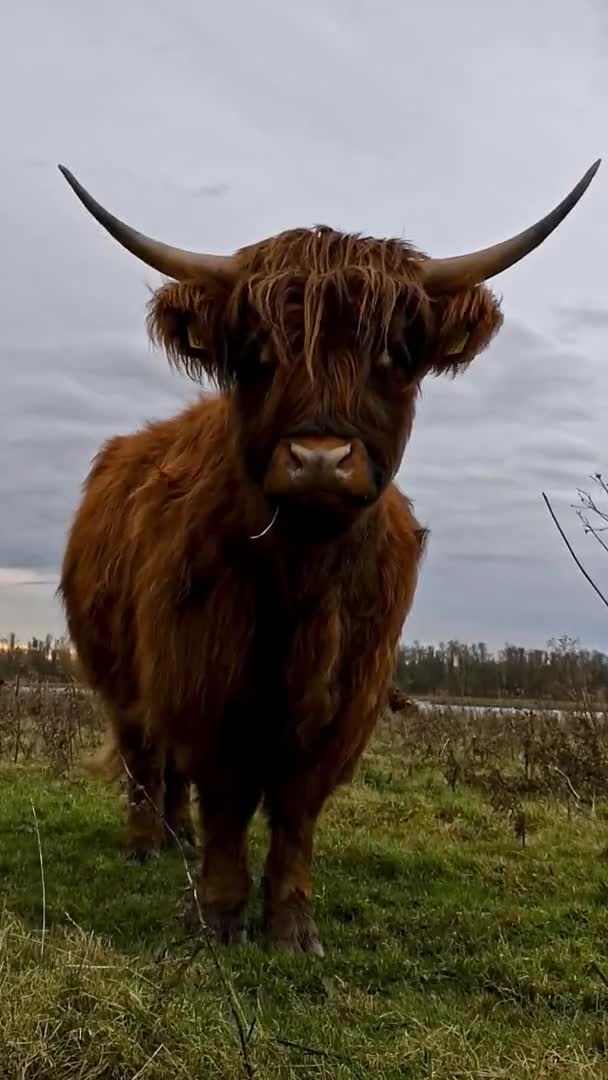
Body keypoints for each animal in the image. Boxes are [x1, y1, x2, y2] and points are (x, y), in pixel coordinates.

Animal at [55, 159, 600, 954]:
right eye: (256, 354)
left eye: (394, 356)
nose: (319, 459)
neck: (301, 579)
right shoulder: (200, 674)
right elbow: (226, 798)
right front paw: (221, 918)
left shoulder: (350, 696)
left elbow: (296, 811)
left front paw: (291, 927)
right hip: (121, 673)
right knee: (143, 754)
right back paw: (146, 844)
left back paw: (177, 839)